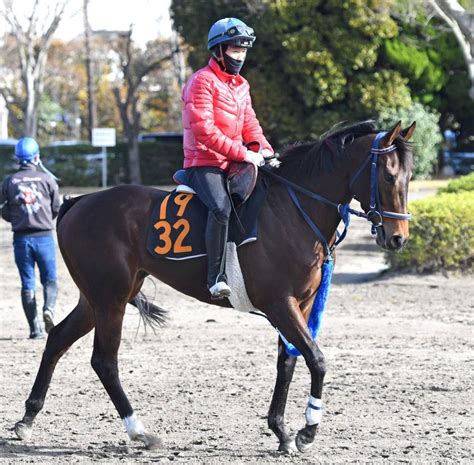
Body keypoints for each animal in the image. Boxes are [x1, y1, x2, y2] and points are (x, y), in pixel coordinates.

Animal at [13, 118, 414, 454]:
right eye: (388, 176)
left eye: (409, 178)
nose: (398, 238)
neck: (293, 210)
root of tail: (77, 202)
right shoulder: (280, 304)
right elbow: (316, 358)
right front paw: (307, 430)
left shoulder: (298, 304)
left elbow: (288, 362)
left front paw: (282, 431)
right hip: (110, 298)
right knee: (104, 360)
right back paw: (138, 431)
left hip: (97, 298)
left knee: (58, 338)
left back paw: (27, 419)